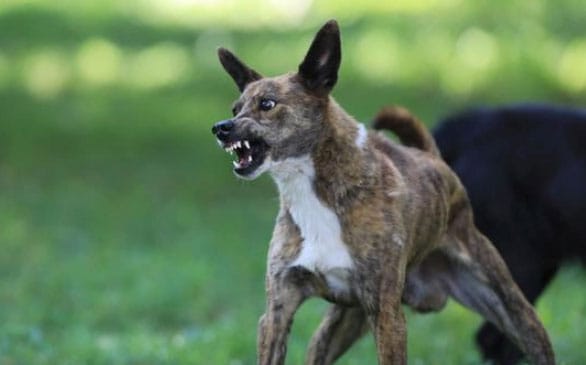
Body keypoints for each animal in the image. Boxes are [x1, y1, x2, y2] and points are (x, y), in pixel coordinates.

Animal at [210, 20, 552, 364]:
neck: (315, 192)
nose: (221, 128)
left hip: (514, 310)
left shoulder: (387, 315)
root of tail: (432, 157)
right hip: (339, 325)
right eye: (235, 108)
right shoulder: (277, 314)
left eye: (267, 104)